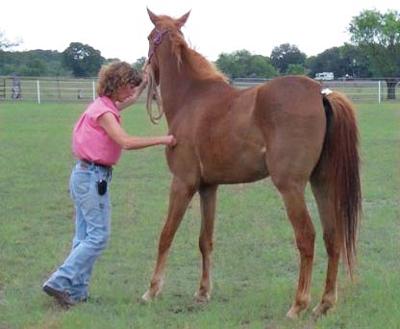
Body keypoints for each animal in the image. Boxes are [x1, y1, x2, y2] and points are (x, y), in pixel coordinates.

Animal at [141, 9, 362, 318]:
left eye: (150, 37)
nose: (144, 71)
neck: (192, 99)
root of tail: (321, 94)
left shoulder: (182, 183)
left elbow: (166, 235)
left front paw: (152, 290)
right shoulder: (208, 187)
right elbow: (205, 240)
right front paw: (202, 292)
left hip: (291, 187)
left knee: (307, 236)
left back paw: (298, 304)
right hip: (323, 183)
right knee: (333, 236)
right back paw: (324, 303)